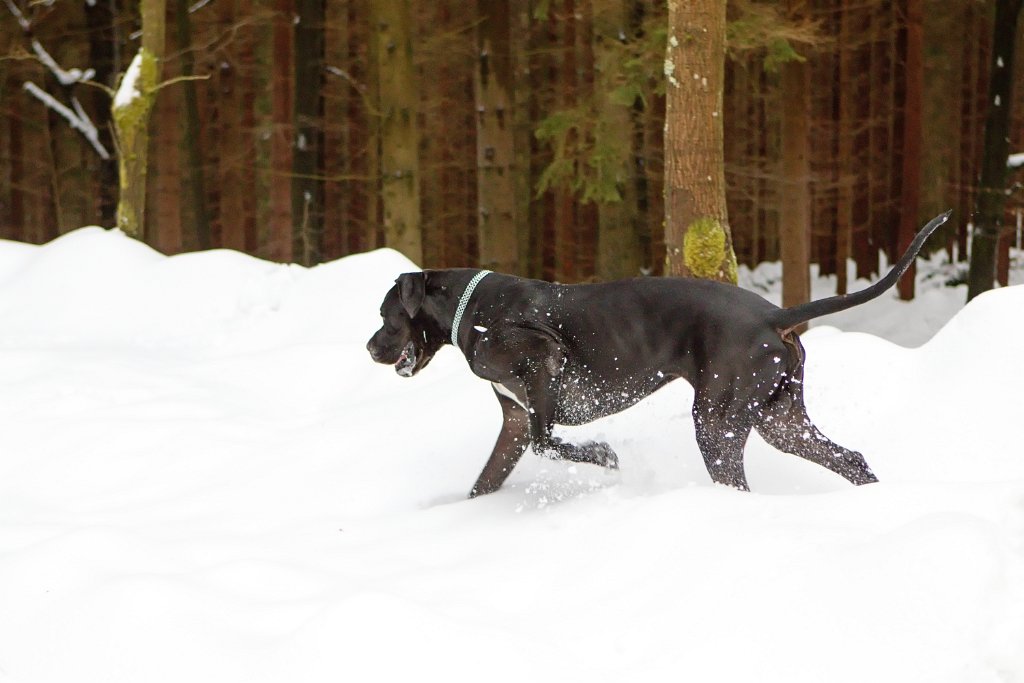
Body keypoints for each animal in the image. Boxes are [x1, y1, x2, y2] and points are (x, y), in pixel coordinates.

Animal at [368, 211, 950, 497]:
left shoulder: (543, 364)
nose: (370, 346)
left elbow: (548, 440)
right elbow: (488, 478)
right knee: (849, 459)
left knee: (737, 479)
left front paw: (603, 456)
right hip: (780, 418)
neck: (472, 306)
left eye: (385, 314)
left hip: (717, 421)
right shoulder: (513, 418)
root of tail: (773, 316)